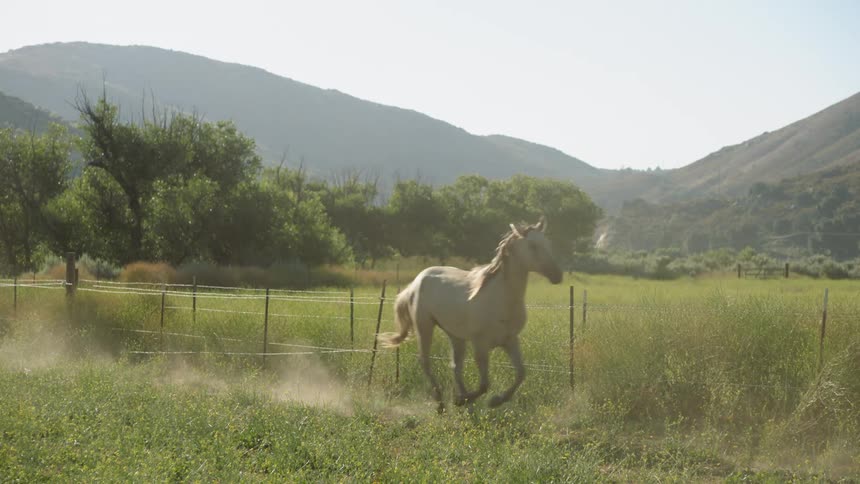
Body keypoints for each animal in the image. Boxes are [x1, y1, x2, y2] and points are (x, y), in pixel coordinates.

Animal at [378, 216, 563, 410]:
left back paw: (463, 400)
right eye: (533, 246)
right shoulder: (480, 345)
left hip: (455, 336)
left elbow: (521, 373)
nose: (557, 275)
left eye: (548, 243)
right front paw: (474, 400)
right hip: (424, 327)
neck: (501, 297)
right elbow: (484, 384)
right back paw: (442, 403)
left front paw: (493, 400)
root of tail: (416, 282)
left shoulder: (510, 340)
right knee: (426, 362)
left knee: (455, 366)